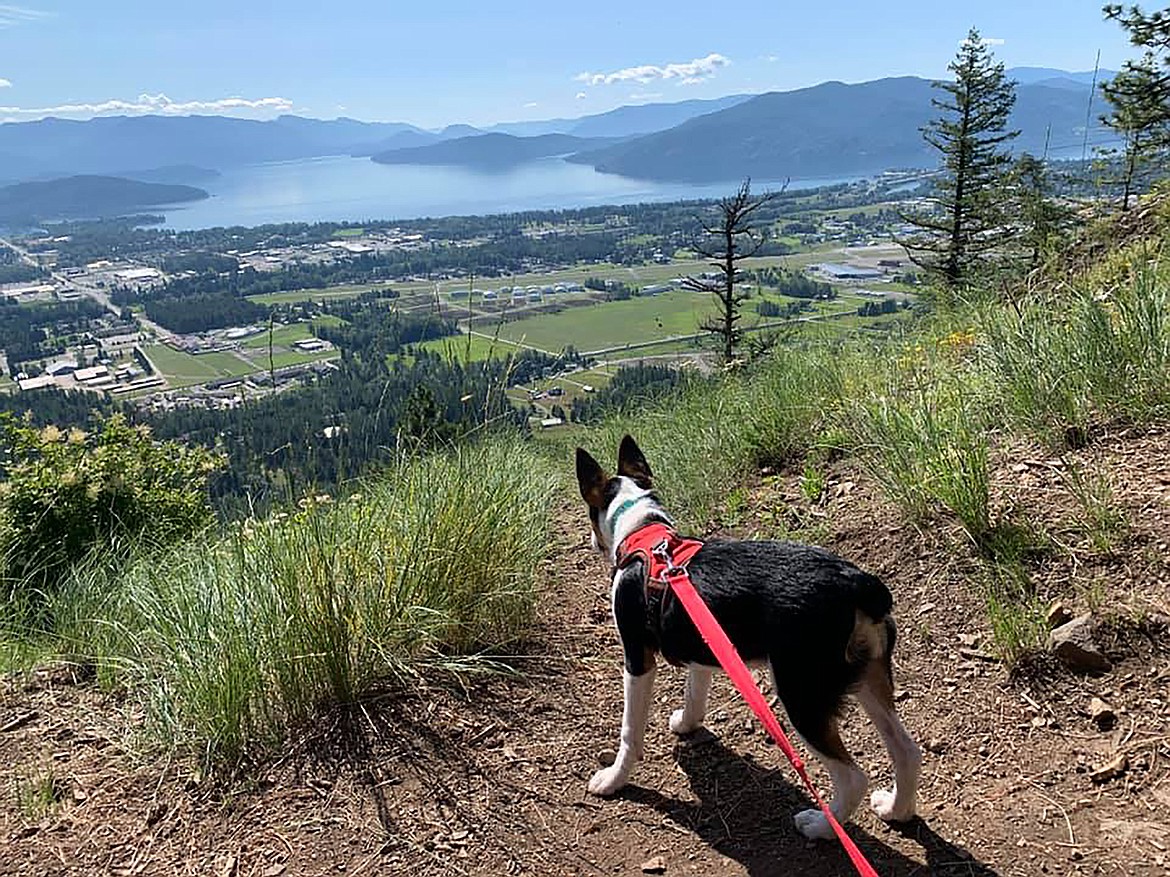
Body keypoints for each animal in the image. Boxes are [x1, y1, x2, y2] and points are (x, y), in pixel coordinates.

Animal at [575, 437, 921, 841]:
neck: (644, 532)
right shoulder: (703, 642)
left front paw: (613, 778)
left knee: (852, 777)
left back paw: (821, 825)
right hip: (867, 675)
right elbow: (695, 692)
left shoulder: (637, 658)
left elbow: (630, 730)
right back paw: (896, 810)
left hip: (802, 693)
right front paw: (687, 723)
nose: (592, 542)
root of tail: (858, 584)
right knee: (906, 751)